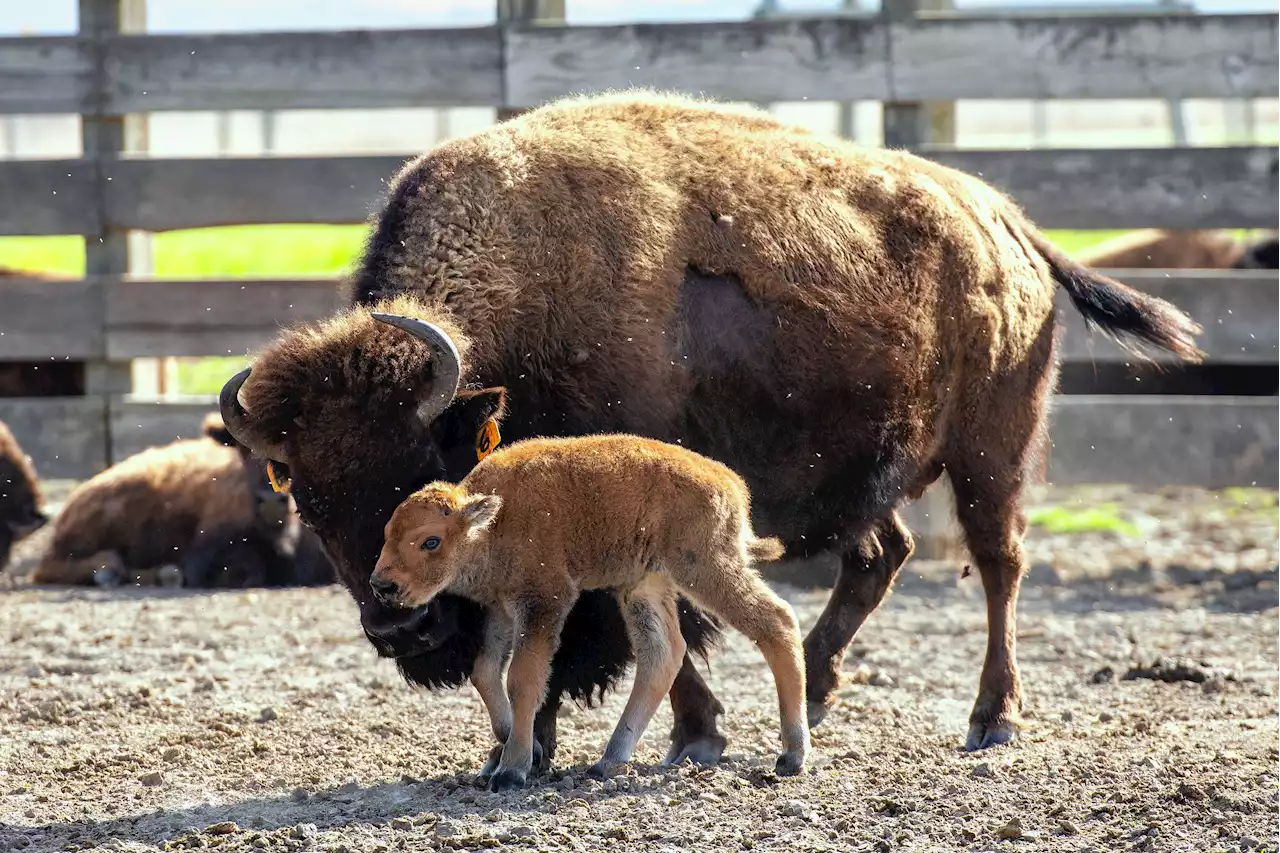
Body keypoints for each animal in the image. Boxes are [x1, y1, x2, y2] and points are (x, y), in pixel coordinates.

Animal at [373, 432, 808, 788]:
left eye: (430, 541)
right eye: (387, 534)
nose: (382, 585)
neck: (494, 520)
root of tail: (730, 483)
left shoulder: (543, 602)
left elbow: (523, 680)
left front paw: (512, 770)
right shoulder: (502, 609)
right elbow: (484, 672)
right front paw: (516, 743)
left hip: (704, 568)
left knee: (777, 622)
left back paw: (792, 756)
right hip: (643, 585)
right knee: (662, 655)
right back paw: (608, 761)